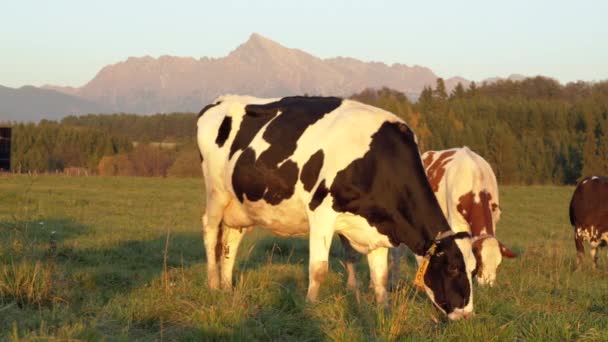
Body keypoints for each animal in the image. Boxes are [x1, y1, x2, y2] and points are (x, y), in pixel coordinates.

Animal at [197, 95, 478, 320]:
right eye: (453, 267)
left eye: (474, 269)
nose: (466, 314)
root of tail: (219, 101)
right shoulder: (321, 213)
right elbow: (318, 269)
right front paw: (310, 309)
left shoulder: (377, 229)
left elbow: (380, 278)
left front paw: (383, 312)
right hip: (215, 194)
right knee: (210, 233)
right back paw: (213, 284)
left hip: (240, 206)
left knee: (230, 243)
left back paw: (227, 288)